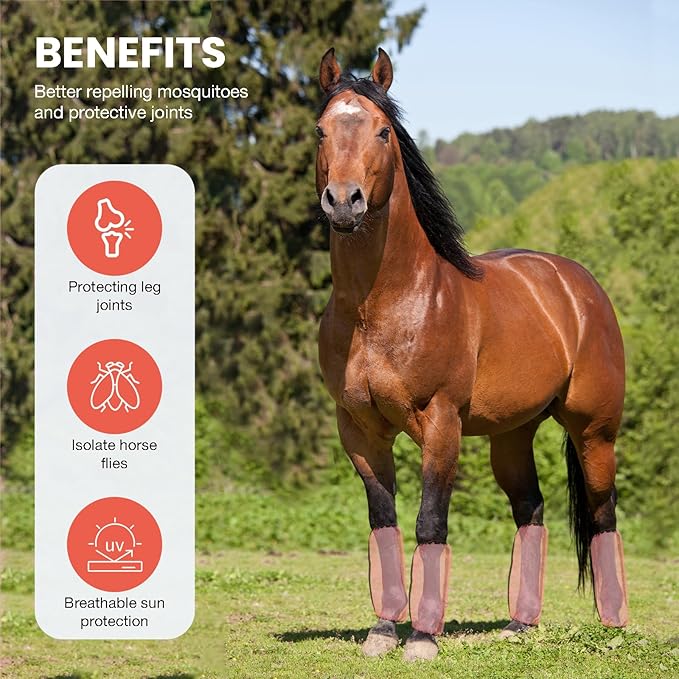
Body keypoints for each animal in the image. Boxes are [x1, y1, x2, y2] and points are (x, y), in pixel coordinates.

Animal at [315, 47, 629, 662]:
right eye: (319, 131)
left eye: (384, 131)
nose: (344, 202)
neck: (381, 307)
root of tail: (578, 285)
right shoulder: (359, 430)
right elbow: (383, 523)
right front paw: (383, 630)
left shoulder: (441, 424)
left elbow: (429, 523)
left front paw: (422, 638)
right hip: (512, 435)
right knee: (531, 510)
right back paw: (521, 624)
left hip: (594, 432)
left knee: (603, 514)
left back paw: (612, 628)